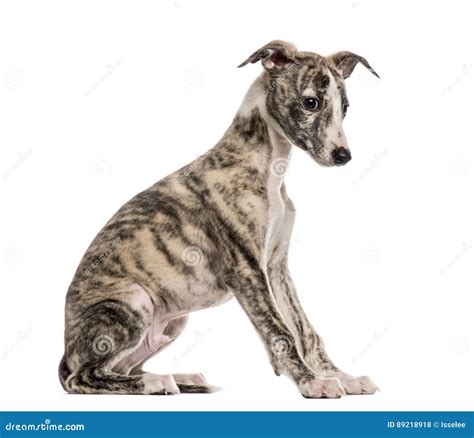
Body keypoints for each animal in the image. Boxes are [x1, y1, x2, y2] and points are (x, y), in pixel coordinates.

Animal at [59, 40, 380, 396]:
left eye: (345, 108)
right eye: (311, 102)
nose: (343, 156)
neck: (267, 167)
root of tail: (66, 352)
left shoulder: (276, 266)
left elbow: (304, 328)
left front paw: (342, 376)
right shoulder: (246, 270)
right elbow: (280, 331)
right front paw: (312, 382)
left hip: (172, 321)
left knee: (123, 367)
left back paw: (177, 378)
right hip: (134, 301)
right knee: (83, 378)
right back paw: (156, 382)